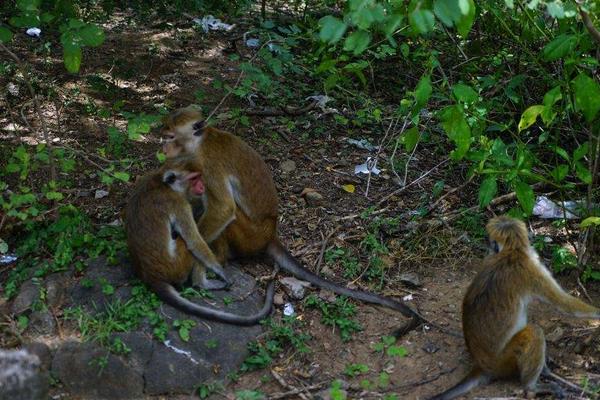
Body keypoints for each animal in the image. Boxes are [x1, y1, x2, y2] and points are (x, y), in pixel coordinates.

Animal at [126, 166, 276, 324]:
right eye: (193, 178)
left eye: (198, 177)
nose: (202, 186)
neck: (163, 185)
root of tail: (152, 277)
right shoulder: (179, 203)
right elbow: (194, 242)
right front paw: (221, 272)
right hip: (178, 266)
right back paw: (202, 283)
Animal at [159, 104, 422, 336]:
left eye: (170, 136)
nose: (164, 148)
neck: (200, 142)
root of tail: (271, 233)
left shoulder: (208, 164)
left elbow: (224, 209)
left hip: (250, 235)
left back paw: (222, 258)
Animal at [428, 217, 596, 398]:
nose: (488, 246)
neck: (511, 251)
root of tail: (481, 365)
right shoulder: (530, 268)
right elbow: (563, 303)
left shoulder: (490, 259)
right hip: (504, 361)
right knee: (534, 333)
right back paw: (532, 387)